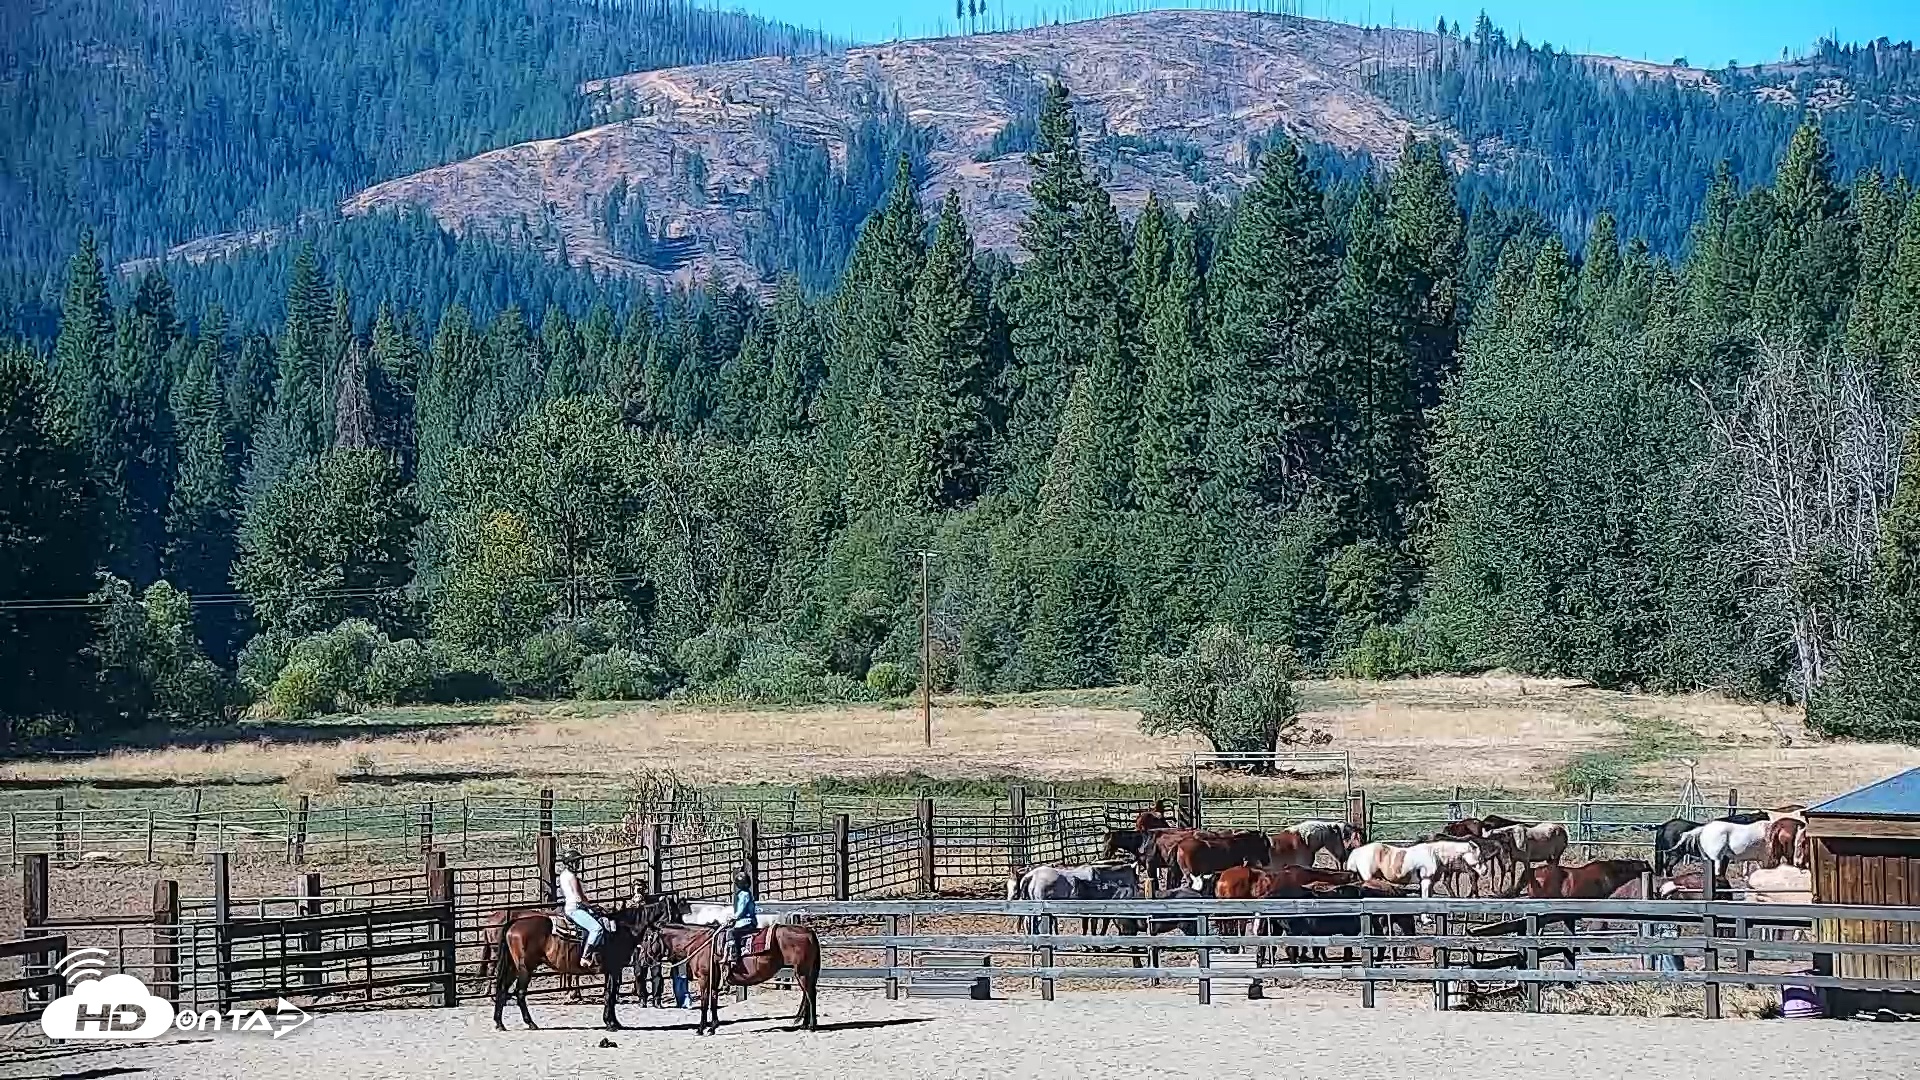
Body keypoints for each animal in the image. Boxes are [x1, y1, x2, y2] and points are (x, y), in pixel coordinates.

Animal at [491, 898, 670, 1031]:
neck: (622, 930)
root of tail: (514, 923)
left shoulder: (611, 971)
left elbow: (609, 994)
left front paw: (613, 1022)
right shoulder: (614, 969)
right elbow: (610, 994)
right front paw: (611, 1024)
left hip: (514, 967)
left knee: (502, 989)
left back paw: (500, 1024)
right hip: (525, 968)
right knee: (520, 993)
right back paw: (530, 1023)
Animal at [645, 921, 822, 1036]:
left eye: (647, 939)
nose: (643, 959)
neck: (702, 944)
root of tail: (809, 932)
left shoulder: (704, 978)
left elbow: (704, 1002)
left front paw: (701, 1028)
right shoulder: (714, 978)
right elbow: (713, 1000)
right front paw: (713, 1027)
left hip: (802, 972)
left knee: (810, 995)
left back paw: (812, 1026)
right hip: (803, 973)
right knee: (807, 995)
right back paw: (804, 1025)